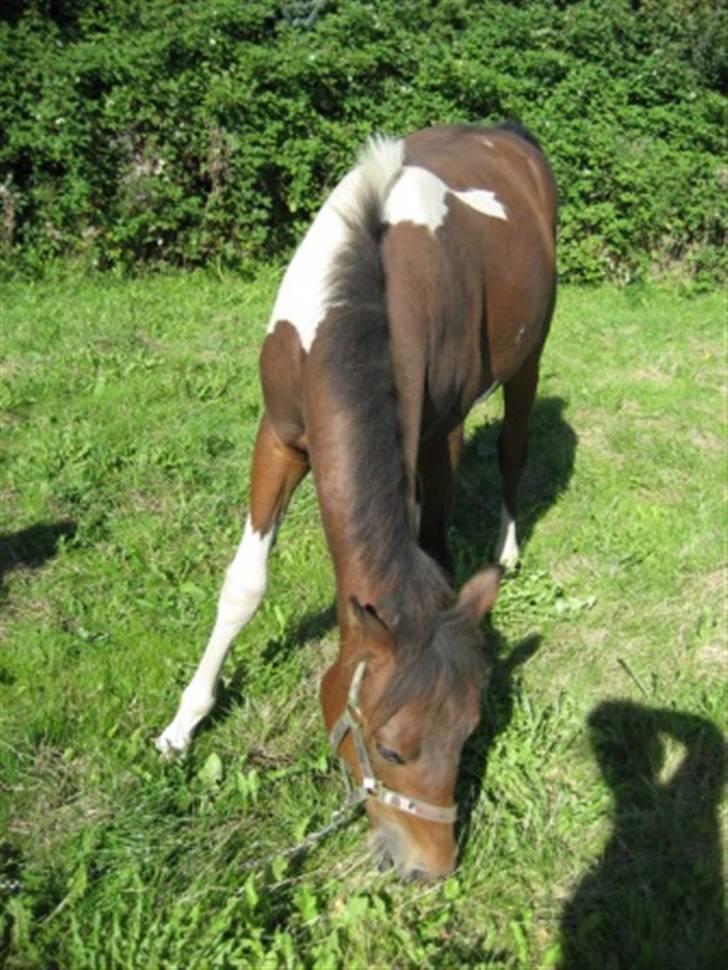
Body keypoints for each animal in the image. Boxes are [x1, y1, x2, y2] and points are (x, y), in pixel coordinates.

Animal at [158, 121, 556, 876]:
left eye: (468, 736)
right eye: (393, 750)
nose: (431, 867)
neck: (358, 301)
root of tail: (507, 135)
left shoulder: (435, 434)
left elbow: (432, 544)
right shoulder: (280, 436)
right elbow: (244, 585)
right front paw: (183, 723)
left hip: (529, 359)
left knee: (517, 451)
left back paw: (510, 548)